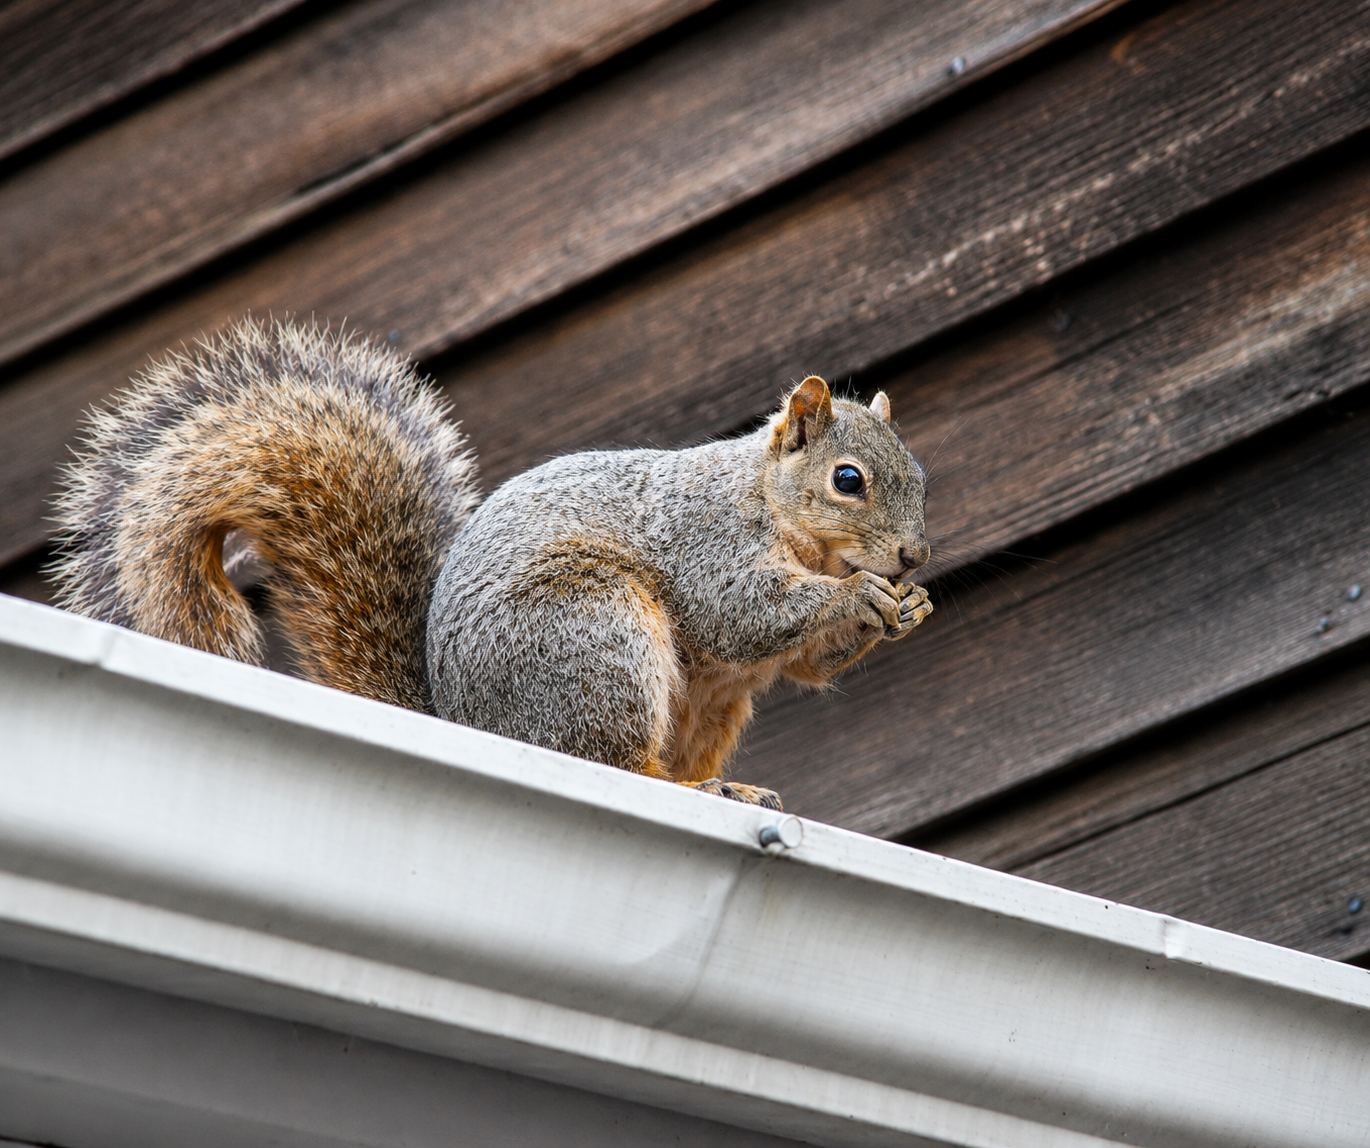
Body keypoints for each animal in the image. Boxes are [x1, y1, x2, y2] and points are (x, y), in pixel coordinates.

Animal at [49, 318, 932, 810]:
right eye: (847, 480)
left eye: (921, 476)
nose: (915, 554)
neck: (781, 514)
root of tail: (466, 723)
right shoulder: (706, 541)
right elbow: (742, 612)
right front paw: (859, 595)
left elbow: (809, 667)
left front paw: (908, 606)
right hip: (592, 635)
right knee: (609, 761)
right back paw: (684, 784)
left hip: (699, 701)